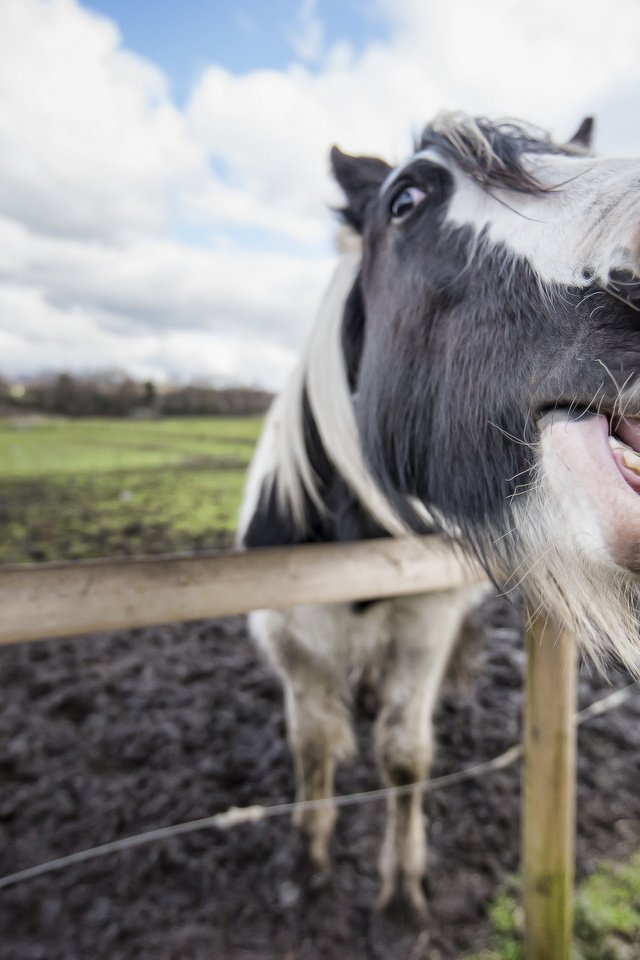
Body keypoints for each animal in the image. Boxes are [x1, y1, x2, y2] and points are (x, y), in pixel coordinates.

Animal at [238, 114, 640, 916]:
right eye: (405, 200)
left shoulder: (425, 628)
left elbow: (403, 756)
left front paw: (401, 891)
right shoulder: (291, 640)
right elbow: (313, 747)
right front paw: (308, 861)